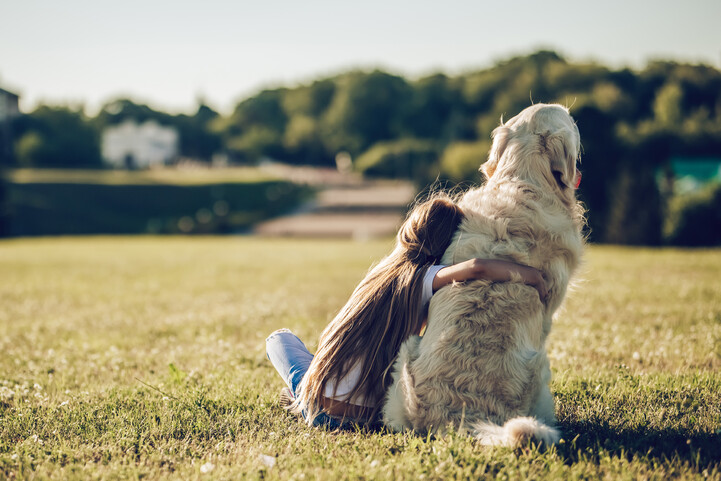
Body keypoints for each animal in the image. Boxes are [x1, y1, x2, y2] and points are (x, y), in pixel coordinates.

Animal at [382, 104, 584, 446]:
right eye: (570, 121)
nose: (575, 114)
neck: (523, 180)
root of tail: (459, 416)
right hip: (540, 367)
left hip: (405, 355)